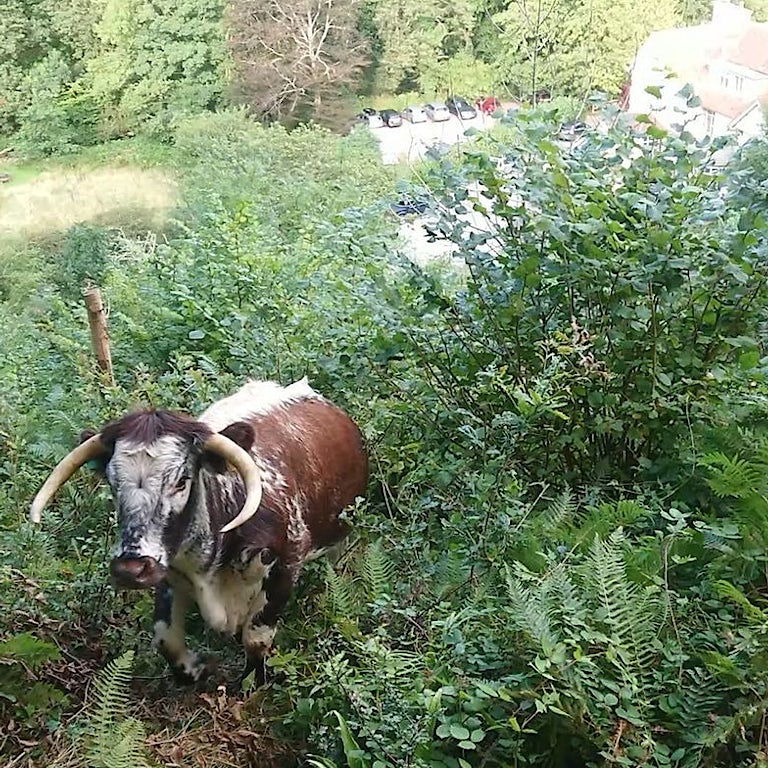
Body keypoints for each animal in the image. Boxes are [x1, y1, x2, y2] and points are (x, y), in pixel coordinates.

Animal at [29, 378, 368, 687]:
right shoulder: (168, 572)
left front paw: (252, 684)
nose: (131, 569)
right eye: (112, 483)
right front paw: (194, 670)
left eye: (182, 481)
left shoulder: (286, 562)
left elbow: (256, 637)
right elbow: (165, 638)